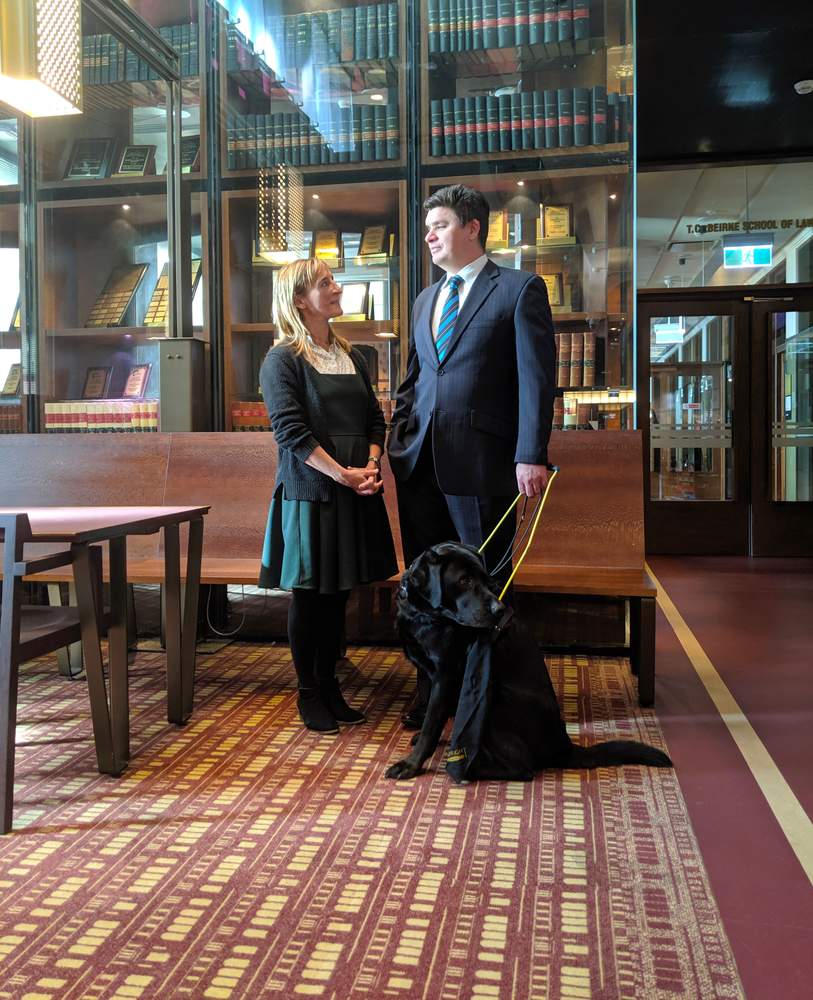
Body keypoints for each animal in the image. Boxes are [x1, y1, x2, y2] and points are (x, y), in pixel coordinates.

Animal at [386, 540, 672, 780]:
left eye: (488, 581)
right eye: (465, 580)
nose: (499, 610)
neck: (423, 613)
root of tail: (562, 745)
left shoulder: (445, 676)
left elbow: (431, 725)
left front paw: (410, 764)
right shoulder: (428, 672)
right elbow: (430, 715)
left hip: (494, 698)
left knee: (522, 768)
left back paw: (474, 768)